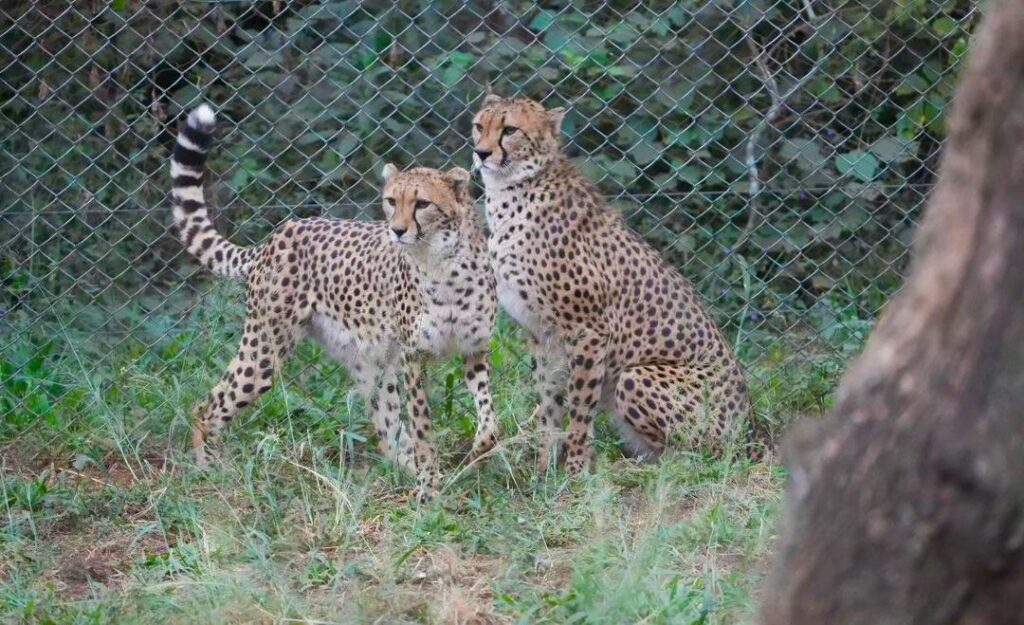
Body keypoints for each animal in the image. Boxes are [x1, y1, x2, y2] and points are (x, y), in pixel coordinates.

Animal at [169, 106, 497, 495]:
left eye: (422, 204)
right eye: (391, 201)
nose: (397, 230)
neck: (441, 263)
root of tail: (279, 233)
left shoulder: (475, 348)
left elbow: (490, 420)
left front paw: (475, 453)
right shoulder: (414, 357)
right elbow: (422, 427)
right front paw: (429, 485)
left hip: (371, 361)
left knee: (385, 427)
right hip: (265, 351)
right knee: (208, 406)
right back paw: (207, 468)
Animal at [468, 93, 765, 471]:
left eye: (509, 130)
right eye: (480, 126)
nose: (481, 153)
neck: (513, 192)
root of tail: (752, 430)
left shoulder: (589, 331)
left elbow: (580, 407)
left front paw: (576, 470)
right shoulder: (540, 334)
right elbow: (549, 401)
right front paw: (544, 468)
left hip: (637, 377)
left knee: (694, 459)